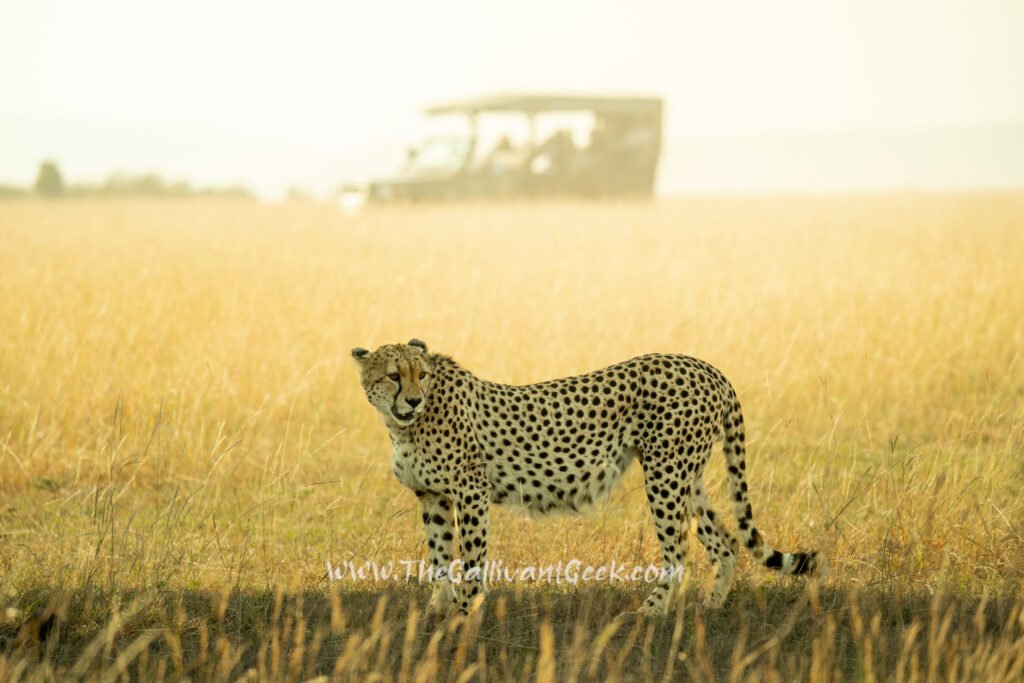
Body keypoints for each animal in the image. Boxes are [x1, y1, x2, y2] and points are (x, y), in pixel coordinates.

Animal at [352, 339, 825, 617]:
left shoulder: (471, 491)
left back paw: (650, 613)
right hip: (685, 475)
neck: (405, 425)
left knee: (679, 550)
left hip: (665, 474)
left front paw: (465, 615)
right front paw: (436, 613)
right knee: (724, 542)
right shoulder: (431, 495)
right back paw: (708, 608)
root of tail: (707, 367)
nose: (413, 400)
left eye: (421, 374)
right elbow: (438, 557)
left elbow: (470, 558)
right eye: (393, 375)